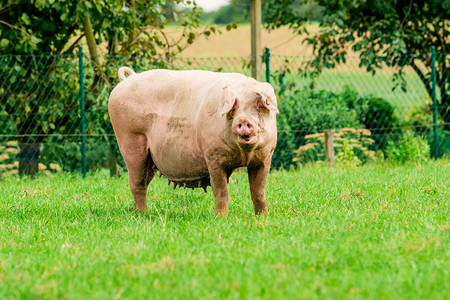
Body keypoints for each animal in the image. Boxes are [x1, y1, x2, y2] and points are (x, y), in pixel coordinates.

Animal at [109, 67, 278, 214]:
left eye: (259, 106)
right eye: (233, 108)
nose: (243, 120)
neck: (244, 154)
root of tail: (128, 79)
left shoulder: (265, 158)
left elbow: (258, 192)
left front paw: (263, 217)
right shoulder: (213, 157)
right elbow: (221, 192)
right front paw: (221, 218)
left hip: (150, 159)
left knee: (143, 182)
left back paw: (139, 211)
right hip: (130, 140)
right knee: (136, 183)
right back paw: (143, 214)